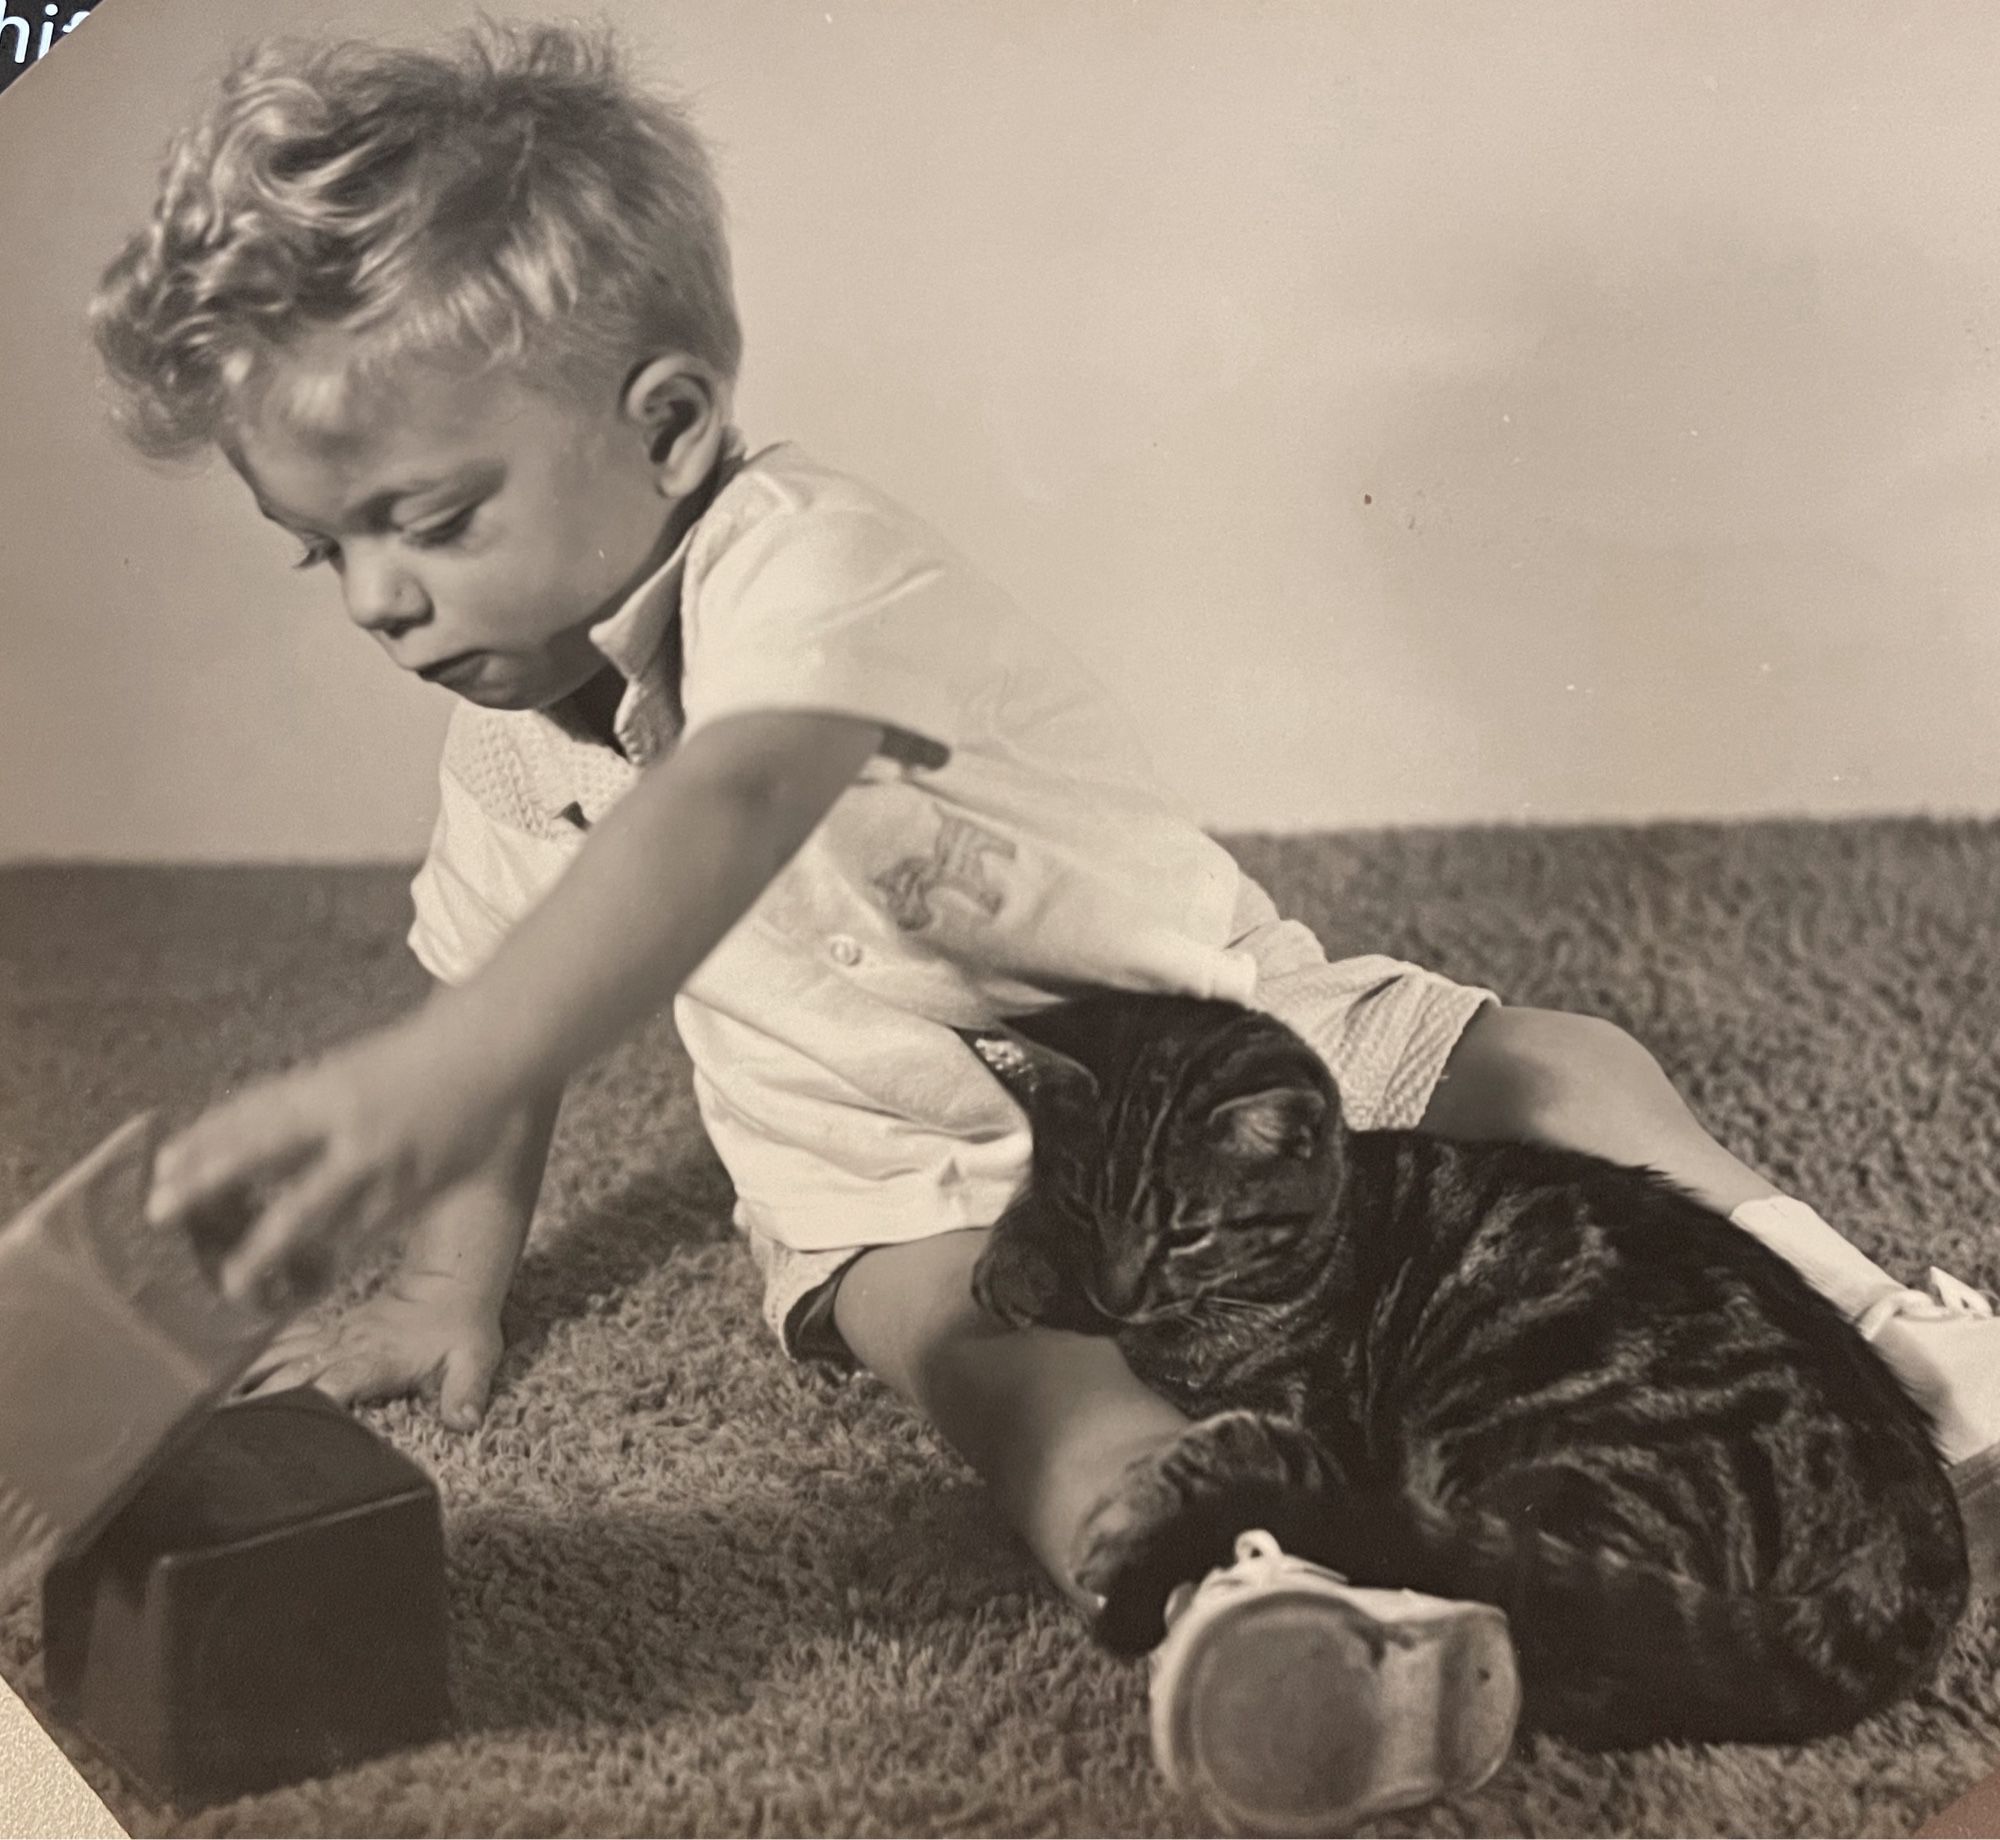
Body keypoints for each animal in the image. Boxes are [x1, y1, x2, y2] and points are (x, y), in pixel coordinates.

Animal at [968, 1000, 1968, 1744]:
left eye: (1187, 1233)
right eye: (1082, 1207)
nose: (1120, 1291)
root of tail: (1921, 1547)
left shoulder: (1309, 1418)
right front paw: (1018, 1260)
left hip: (1545, 1446)